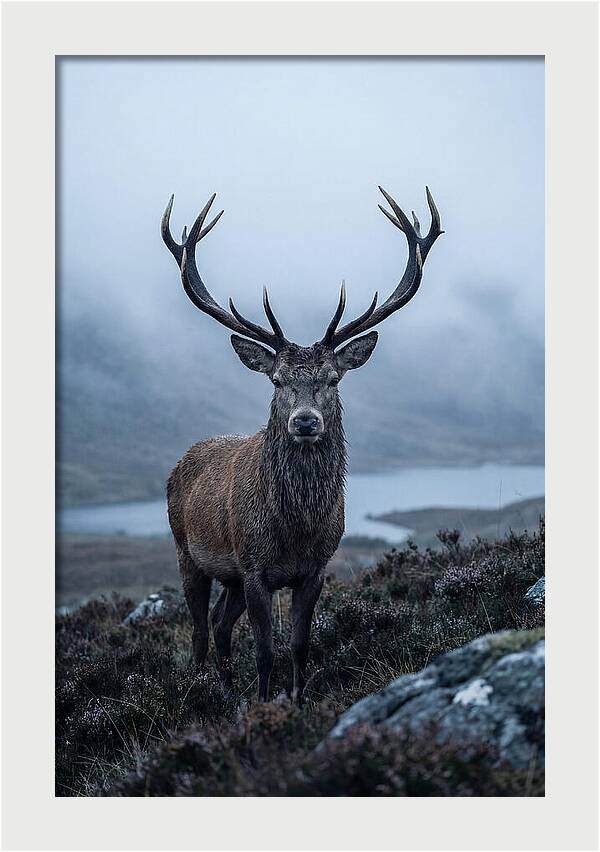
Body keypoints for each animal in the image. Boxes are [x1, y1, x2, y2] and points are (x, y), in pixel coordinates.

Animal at [161, 186, 443, 703]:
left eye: (332, 378)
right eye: (277, 380)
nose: (306, 421)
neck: (295, 528)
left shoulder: (314, 569)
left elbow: (298, 645)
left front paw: (295, 700)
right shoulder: (254, 568)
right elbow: (264, 650)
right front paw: (264, 704)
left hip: (228, 575)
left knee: (220, 624)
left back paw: (227, 691)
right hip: (186, 551)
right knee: (198, 628)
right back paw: (202, 689)